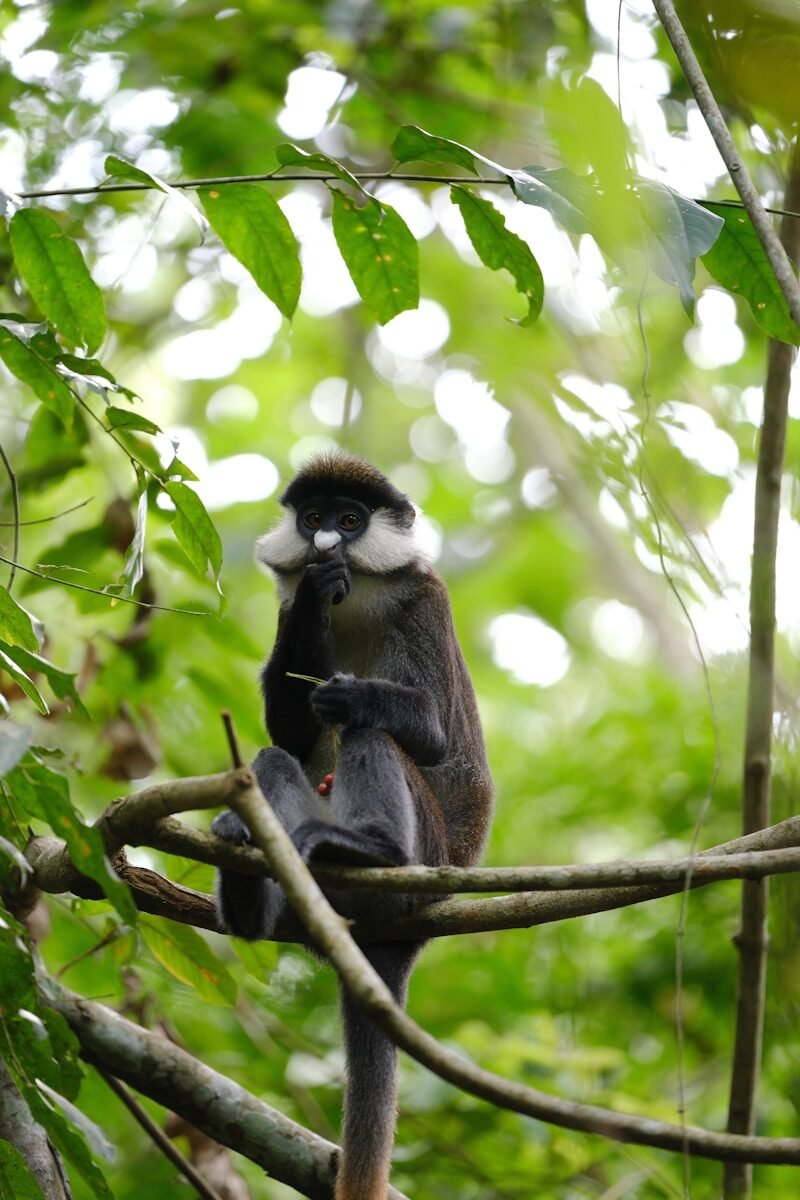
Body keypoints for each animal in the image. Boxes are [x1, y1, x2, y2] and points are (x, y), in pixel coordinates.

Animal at [212, 451, 493, 1200]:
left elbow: (429, 734)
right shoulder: (289, 609)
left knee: (378, 735)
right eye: (312, 517)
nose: (324, 543)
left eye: (349, 519)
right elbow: (286, 730)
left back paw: (368, 845)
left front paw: (355, 697)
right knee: (273, 760)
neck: (361, 596)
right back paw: (248, 891)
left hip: (424, 859)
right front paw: (315, 594)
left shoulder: (426, 602)